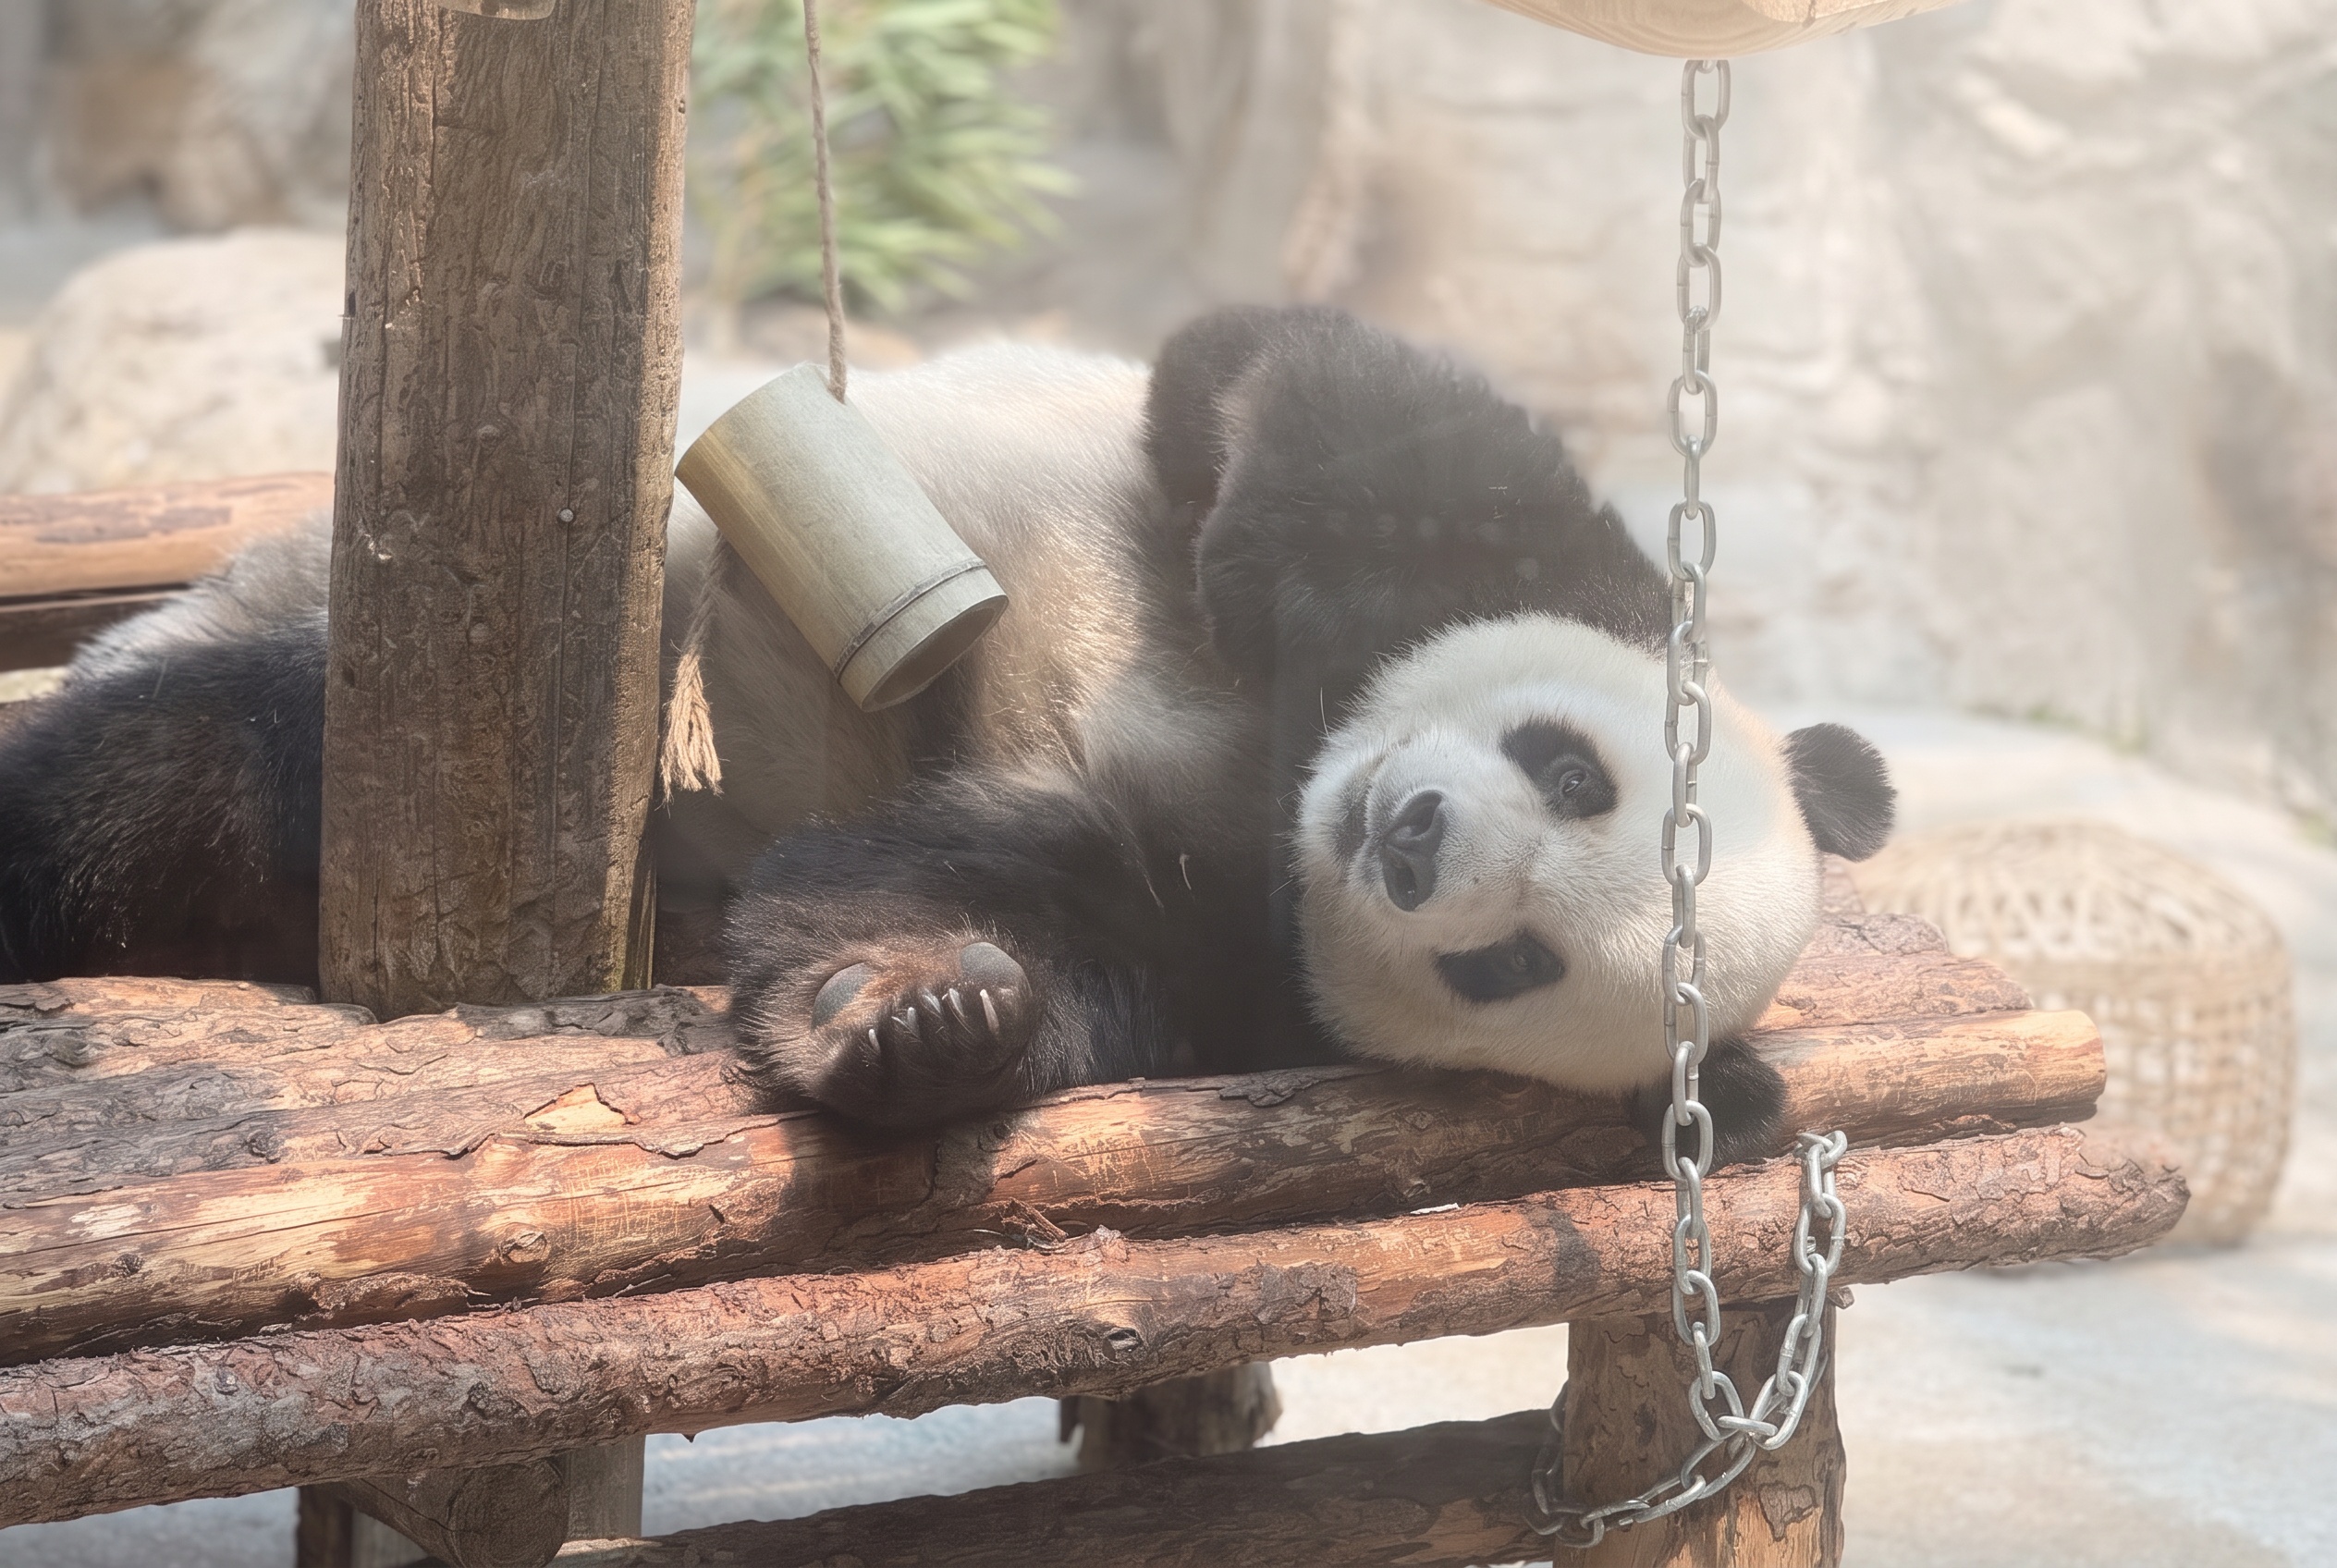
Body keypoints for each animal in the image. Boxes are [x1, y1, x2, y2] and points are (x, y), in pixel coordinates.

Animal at [0, 306, 1893, 1160]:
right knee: (151, 771)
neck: (1289, 798)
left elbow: (993, 908)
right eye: (1572, 771)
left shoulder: (1239, 953)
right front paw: (1250, 567)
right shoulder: (1519, 561)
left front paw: (924, 1019)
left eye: (1513, 968)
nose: (1414, 838)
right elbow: (1307, 399)